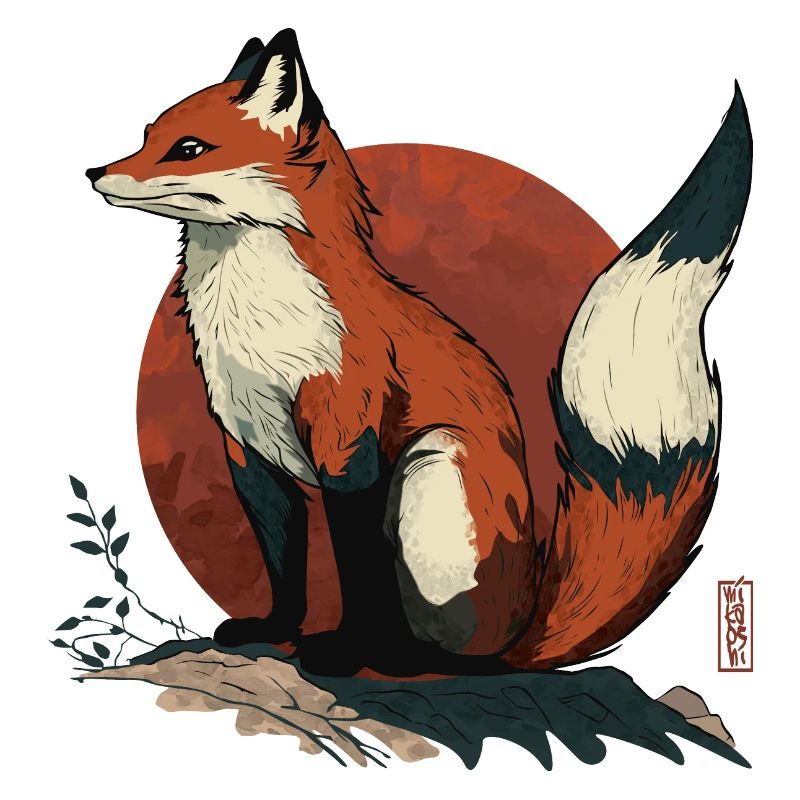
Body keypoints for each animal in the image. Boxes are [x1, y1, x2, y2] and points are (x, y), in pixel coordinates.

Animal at [86, 29, 752, 676]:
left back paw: (399, 657)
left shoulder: (347, 446)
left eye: (189, 149)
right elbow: (283, 563)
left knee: (459, 655)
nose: (94, 171)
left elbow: (356, 571)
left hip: (429, 468)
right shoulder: (248, 451)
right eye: (147, 137)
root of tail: (524, 629)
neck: (256, 329)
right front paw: (274, 630)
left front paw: (343, 653)